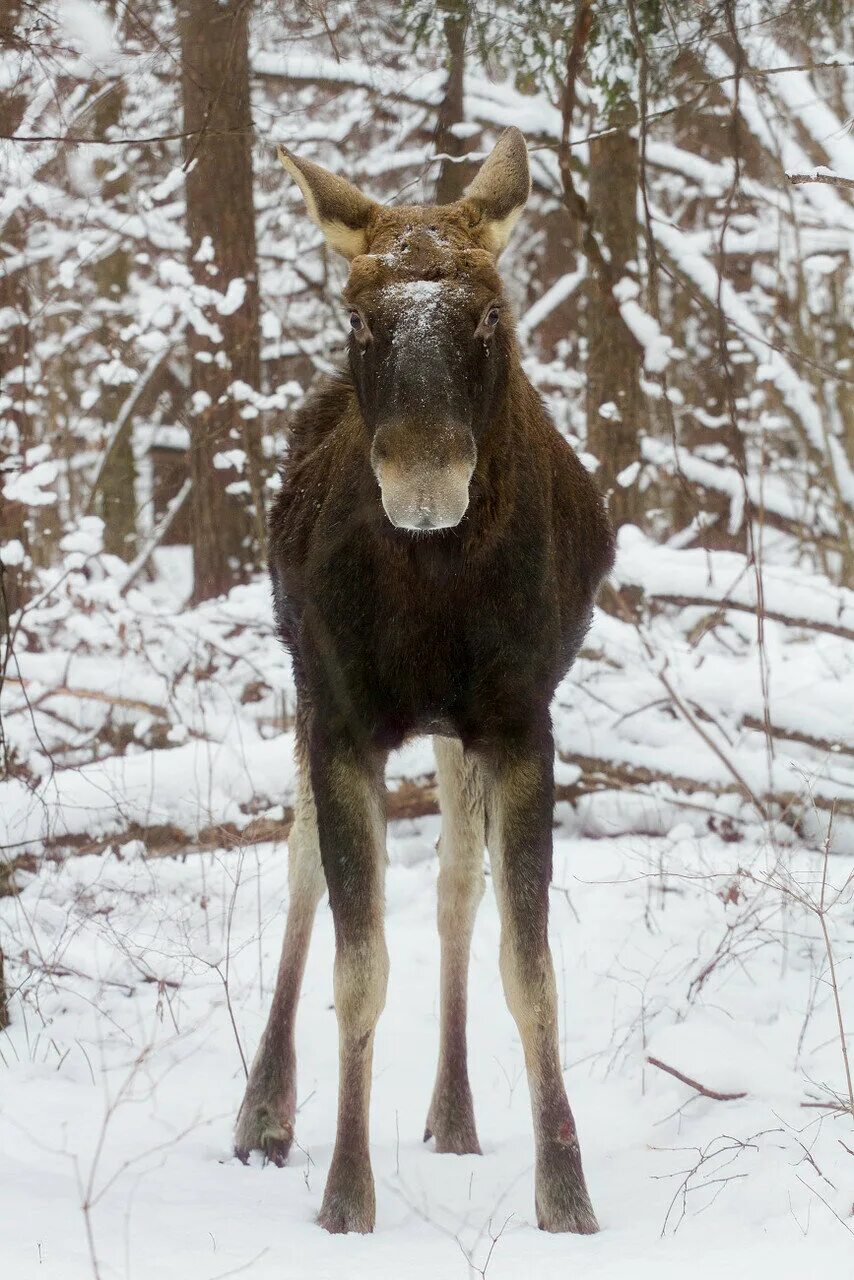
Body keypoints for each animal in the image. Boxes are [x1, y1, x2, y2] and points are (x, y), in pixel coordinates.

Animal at [235, 127, 614, 1228]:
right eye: (358, 315)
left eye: (488, 310)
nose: (423, 477)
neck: (437, 591)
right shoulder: (341, 717)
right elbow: (358, 965)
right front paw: (344, 1194)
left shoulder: (519, 720)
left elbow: (527, 966)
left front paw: (564, 1193)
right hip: (310, 691)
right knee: (301, 870)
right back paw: (264, 1109)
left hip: (454, 731)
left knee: (454, 885)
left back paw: (455, 1111)